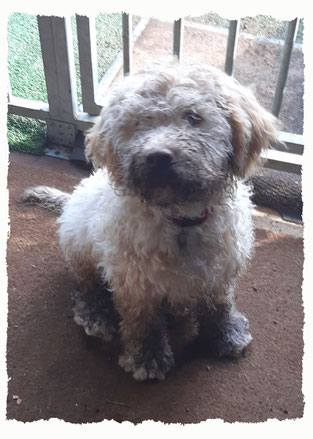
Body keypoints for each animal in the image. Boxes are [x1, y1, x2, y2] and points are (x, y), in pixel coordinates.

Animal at [23, 61, 276, 382]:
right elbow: (142, 322)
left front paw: (226, 334)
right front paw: (147, 357)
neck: (182, 220)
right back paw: (95, 314)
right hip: (79, 246)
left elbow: (220, 306)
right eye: (138, 122)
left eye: (193, 116)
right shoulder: (134, 282)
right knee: (85, 286)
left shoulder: (219, 273)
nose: (158, 156)